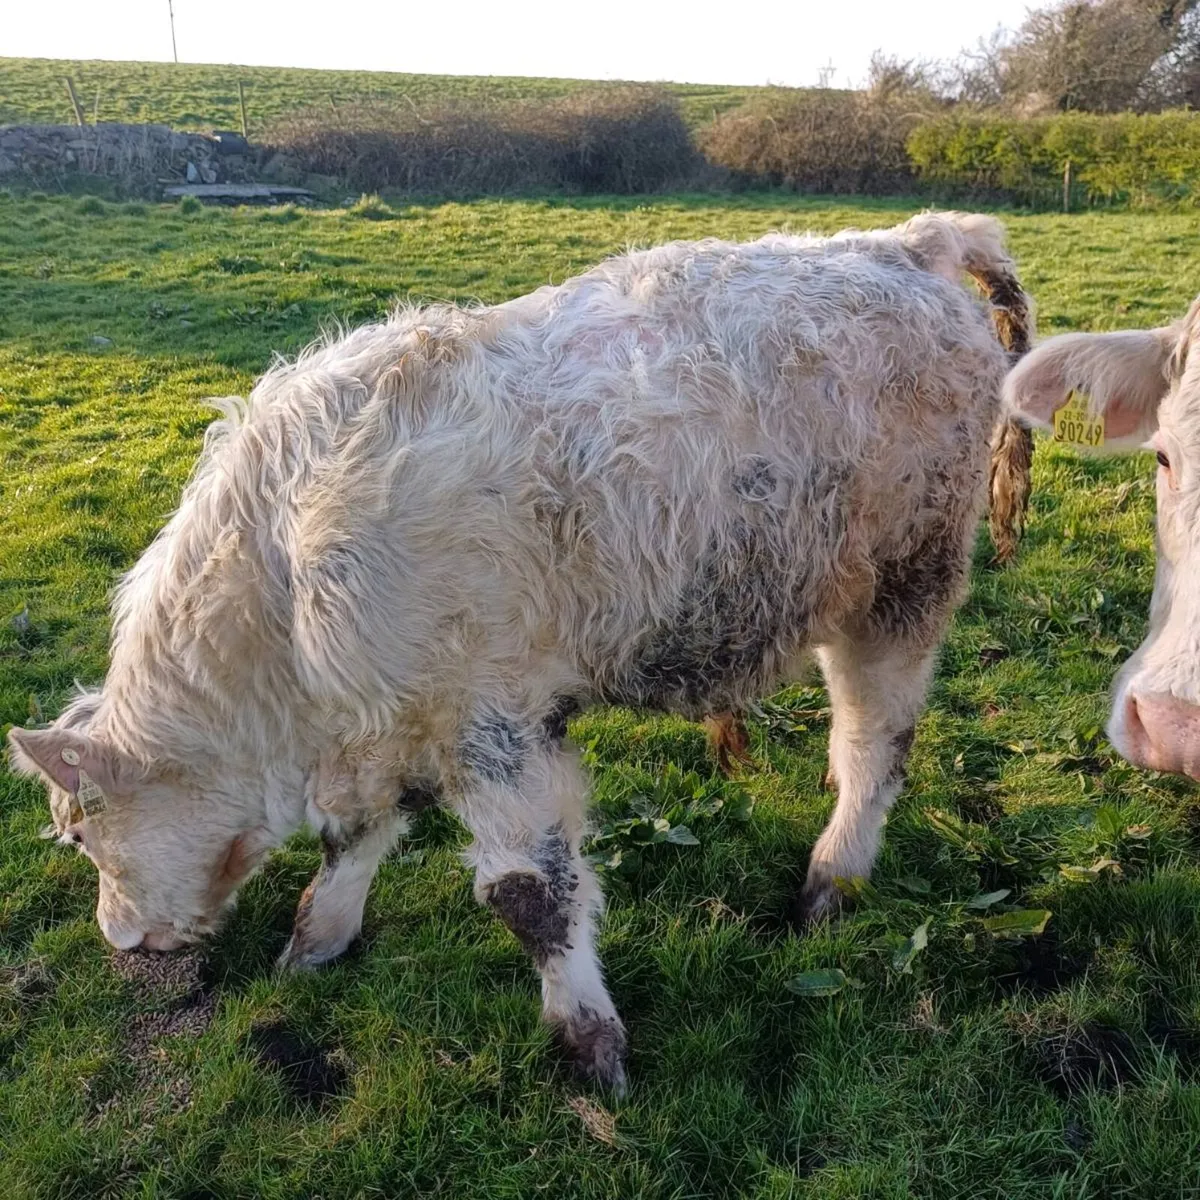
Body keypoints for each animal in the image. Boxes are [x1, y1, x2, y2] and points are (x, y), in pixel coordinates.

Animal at [7, 212, 1031, 1092]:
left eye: (82, 834)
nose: (120, 939)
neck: (281, 588)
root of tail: (913, 241)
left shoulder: (493, 724)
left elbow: (529, 893)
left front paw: (590, 1046)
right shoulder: (396, 718)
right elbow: (358, 837)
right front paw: (315, 941)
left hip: (905, 584)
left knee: (874, 744)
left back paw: (831, 881)